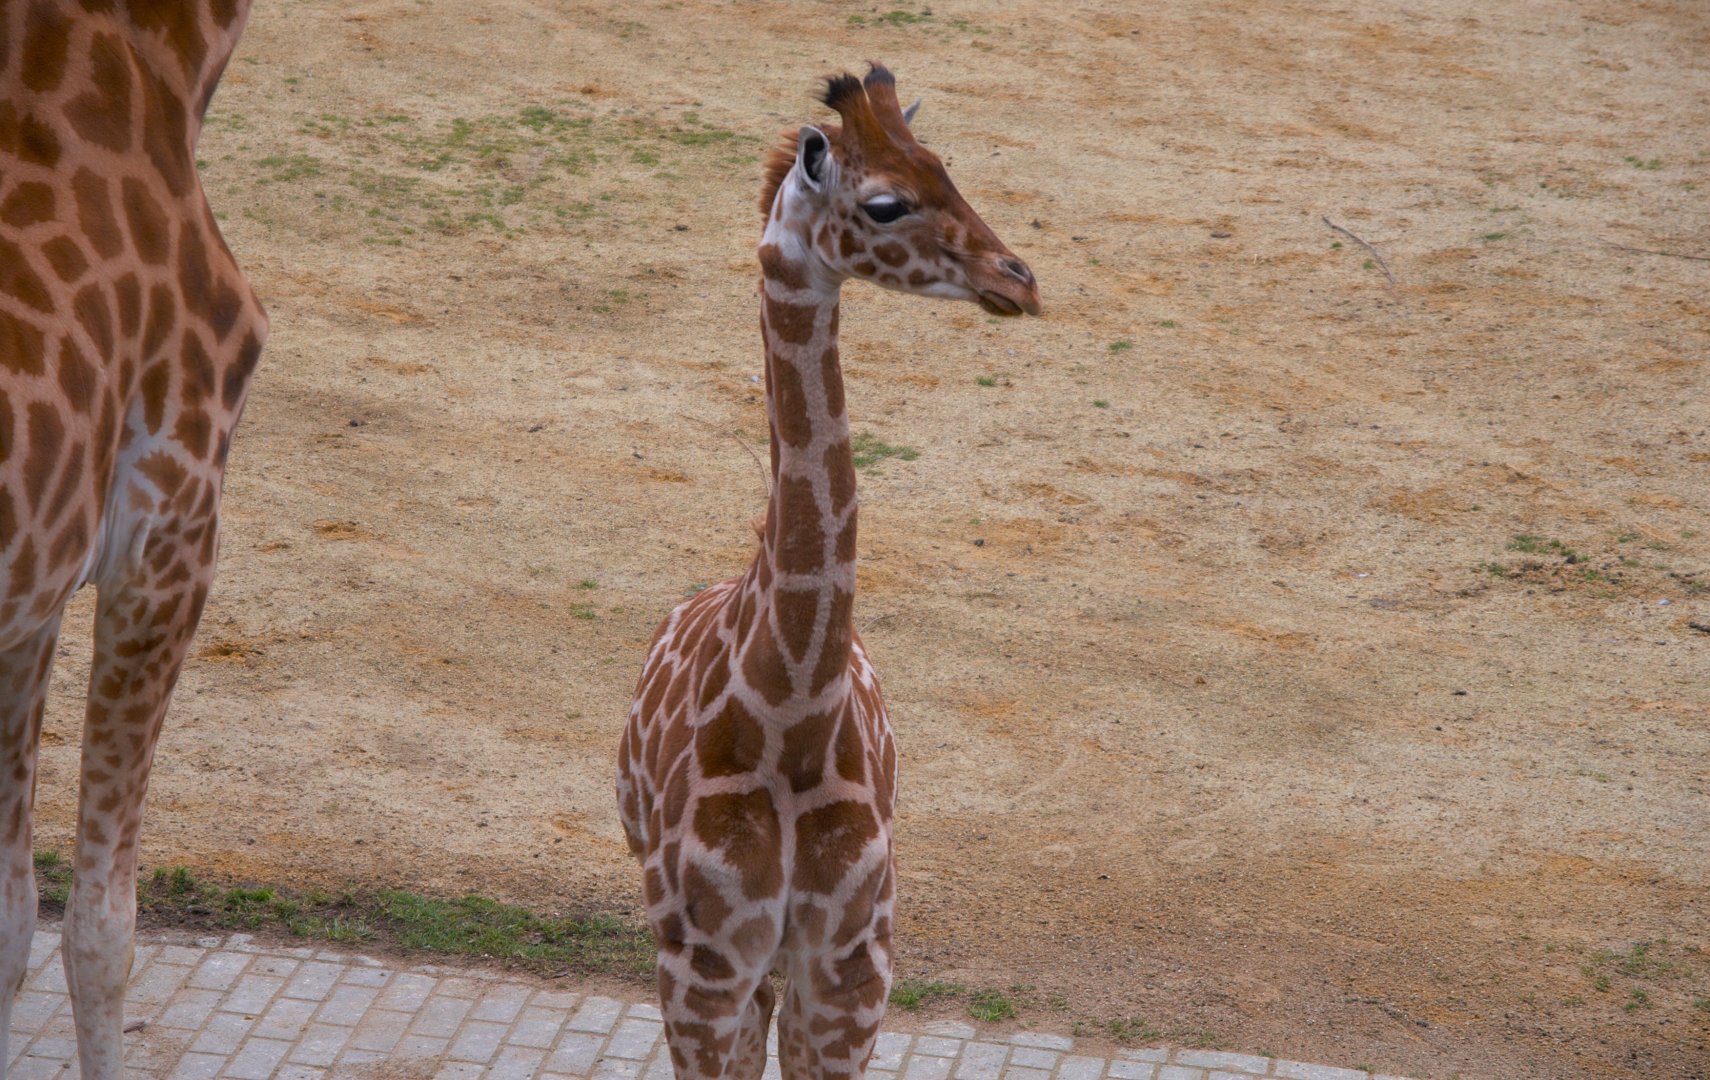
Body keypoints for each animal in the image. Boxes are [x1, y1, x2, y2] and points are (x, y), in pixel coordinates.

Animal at [617, 64, 1040, 1080]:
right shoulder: (702, 969)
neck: (790, 721)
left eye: (946, 165)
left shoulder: (854, 965)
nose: (1020, 280)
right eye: (885, 203)